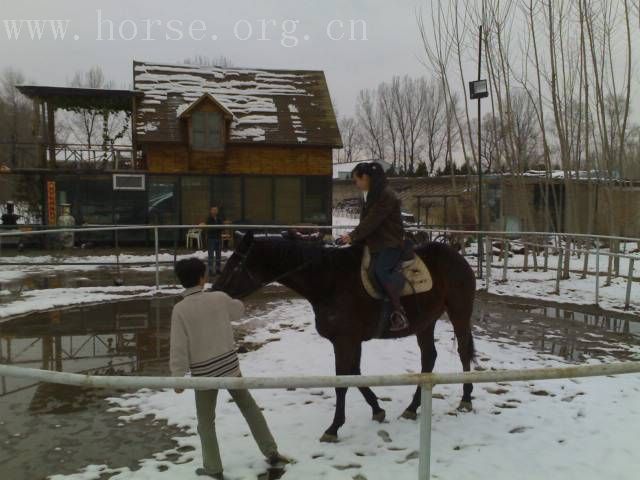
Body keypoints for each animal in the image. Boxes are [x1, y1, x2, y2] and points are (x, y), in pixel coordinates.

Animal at [214, 232, 476, 442]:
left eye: (235, 265)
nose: (215, 291)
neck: (329, 280)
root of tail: (457, 257)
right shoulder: (351, 341)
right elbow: (354, 374)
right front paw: (377, 409)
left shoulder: (344, 341)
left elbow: (342, 383)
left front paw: (333, 428)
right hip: (425, 322)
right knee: (428, 358)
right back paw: (412, 407)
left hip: (459, 314)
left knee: (463, 351)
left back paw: (466, 399)